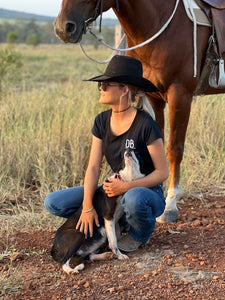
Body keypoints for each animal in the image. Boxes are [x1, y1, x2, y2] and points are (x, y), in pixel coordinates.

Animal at [53, 0, 225, 223]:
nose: (63, 28)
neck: (159, 26)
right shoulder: (154, 97)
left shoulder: (180, 95)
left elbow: (174, 150)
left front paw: (170, 205)